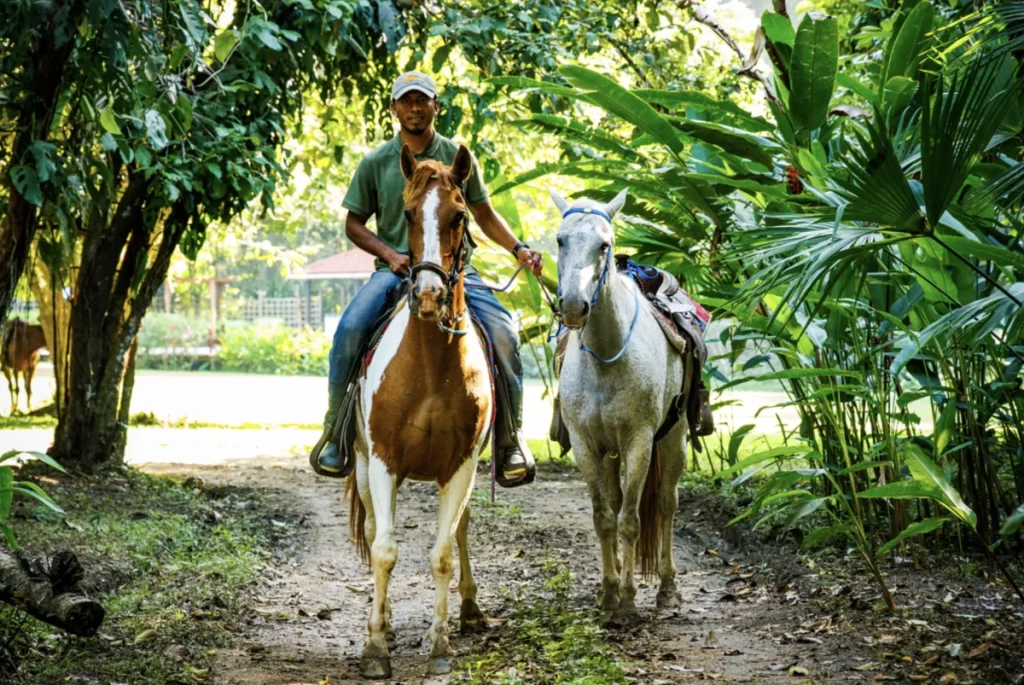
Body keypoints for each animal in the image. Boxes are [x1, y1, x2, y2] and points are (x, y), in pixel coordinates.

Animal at [346, 144, 492, 679]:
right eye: (407, 213)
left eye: (460, 215)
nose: (428, 296)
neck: (430, 365)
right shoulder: (384, 461)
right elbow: (385, 551)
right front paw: (375, 648)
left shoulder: (460, 467)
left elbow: (443, 554)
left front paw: (441, 645)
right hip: (363, 466)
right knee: (373, 531)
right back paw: (384, 623)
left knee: (462, 530)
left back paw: (468, 610)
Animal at [551, 188, 692, 626]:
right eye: (560, 240)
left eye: (604, 245)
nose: (574, 306)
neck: (607, 356)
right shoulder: (585, 445)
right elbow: (603, 518)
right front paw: (609, 593)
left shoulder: (639, 442)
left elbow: (631, 521)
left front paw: (628, 598)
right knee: (615, 505)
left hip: (673, 437)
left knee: (665, 503)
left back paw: (667, 587)